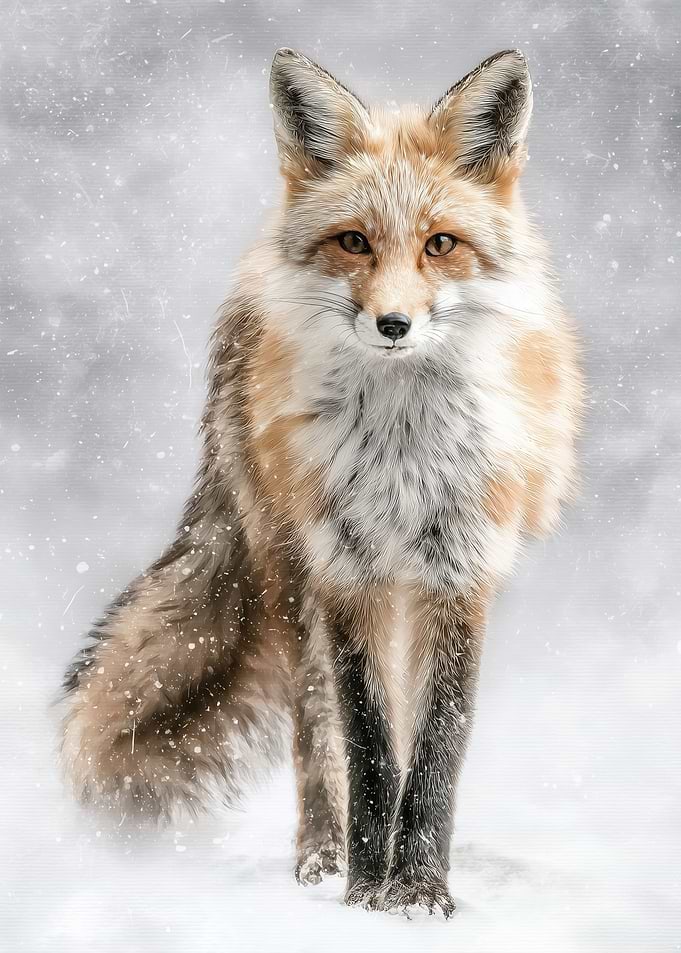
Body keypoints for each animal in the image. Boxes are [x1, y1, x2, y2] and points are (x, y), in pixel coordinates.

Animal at [61, 48, 582, 916]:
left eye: (440, 244)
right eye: (354, 242)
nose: (393, 324)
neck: (403, 447)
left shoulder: (457, 571)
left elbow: (434, 744)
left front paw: (422, 887)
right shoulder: (347, 570)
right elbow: (366, 745)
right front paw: (368, 886)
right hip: (290, 572)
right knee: (315, 727)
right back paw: (321, 853)